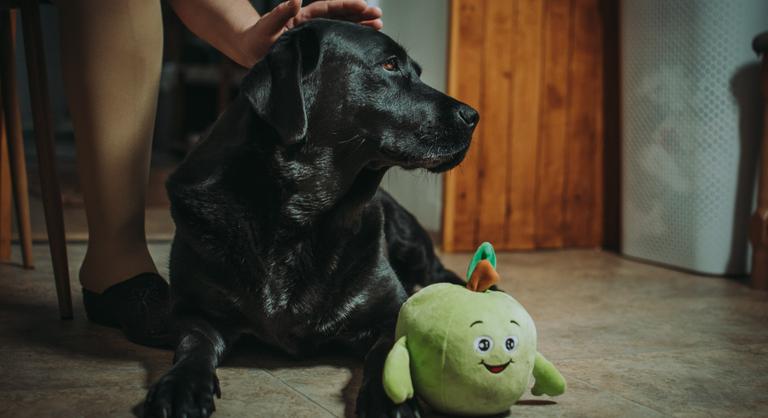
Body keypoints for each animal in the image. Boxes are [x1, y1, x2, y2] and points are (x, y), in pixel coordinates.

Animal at [144, 19, 476, 418]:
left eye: (417, 71)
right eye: (390, 65)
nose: (474, 116)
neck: (303, 218)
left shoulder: (392, 312)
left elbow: (388, 351)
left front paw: (389, 397)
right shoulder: (193, 310)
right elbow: (194, 346)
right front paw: (181, 385)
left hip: (411, 243)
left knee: (441, 272)